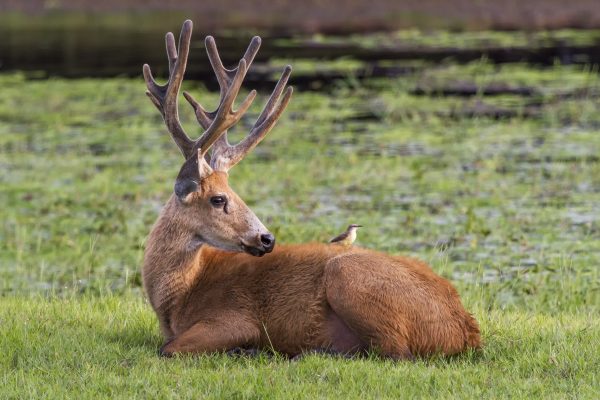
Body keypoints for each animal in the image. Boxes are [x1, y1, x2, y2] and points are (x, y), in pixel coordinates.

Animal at [142, 20, 482, 360]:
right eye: (218, 198)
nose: (267, 238)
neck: (180, 298)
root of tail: (467, 330)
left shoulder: (236, 319)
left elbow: (166, 348)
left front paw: (245, 349)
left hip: (347, 275)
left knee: (394, 352)